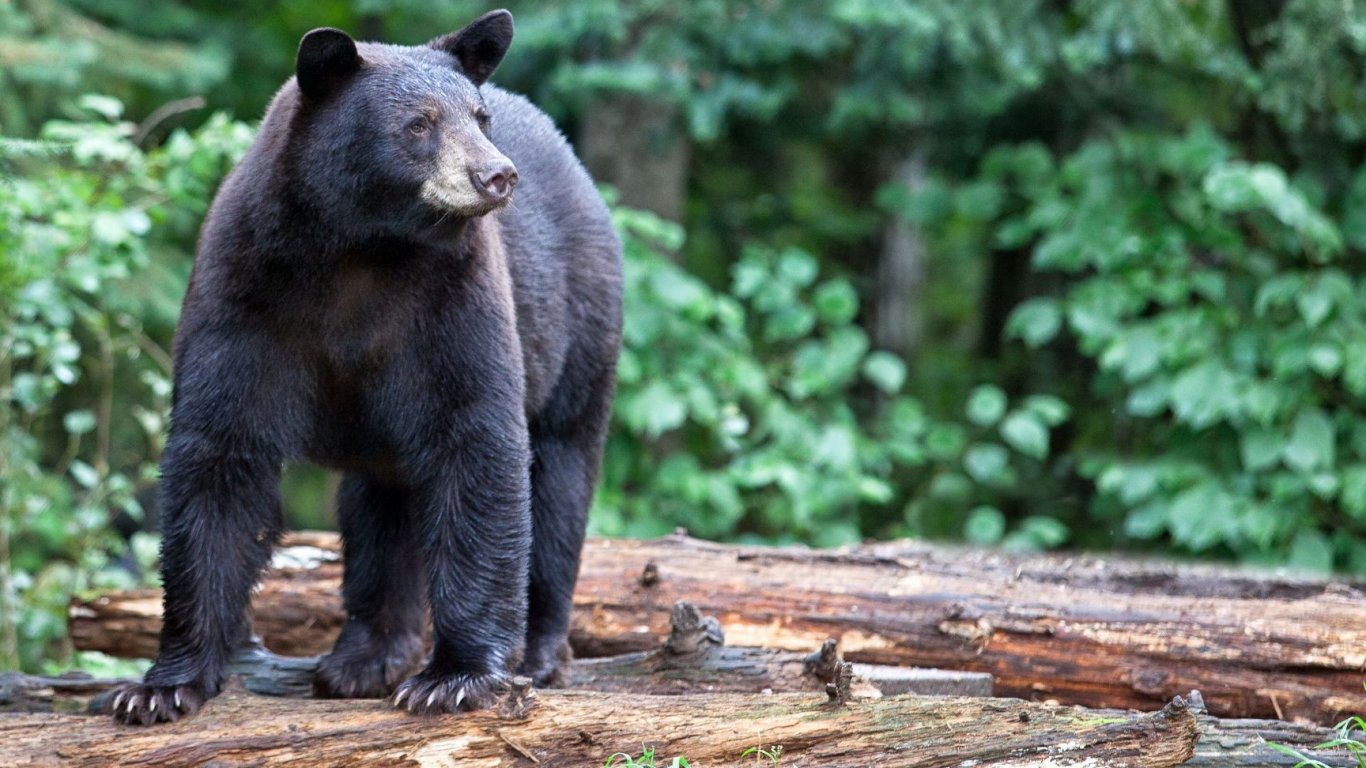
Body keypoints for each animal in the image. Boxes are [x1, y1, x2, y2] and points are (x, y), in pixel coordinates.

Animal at [112, 8, 625, 721]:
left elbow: (477, 442)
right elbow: (219, 456)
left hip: (579, 326)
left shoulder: (453, 301)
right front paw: (161, 686)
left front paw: (456, 677)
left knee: (560, 477)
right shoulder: (243, 294)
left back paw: (539, 651)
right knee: (380, 508)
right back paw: (364, 657)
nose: (497, 175)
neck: (361, 249)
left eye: (479, 116)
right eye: (418, 124)